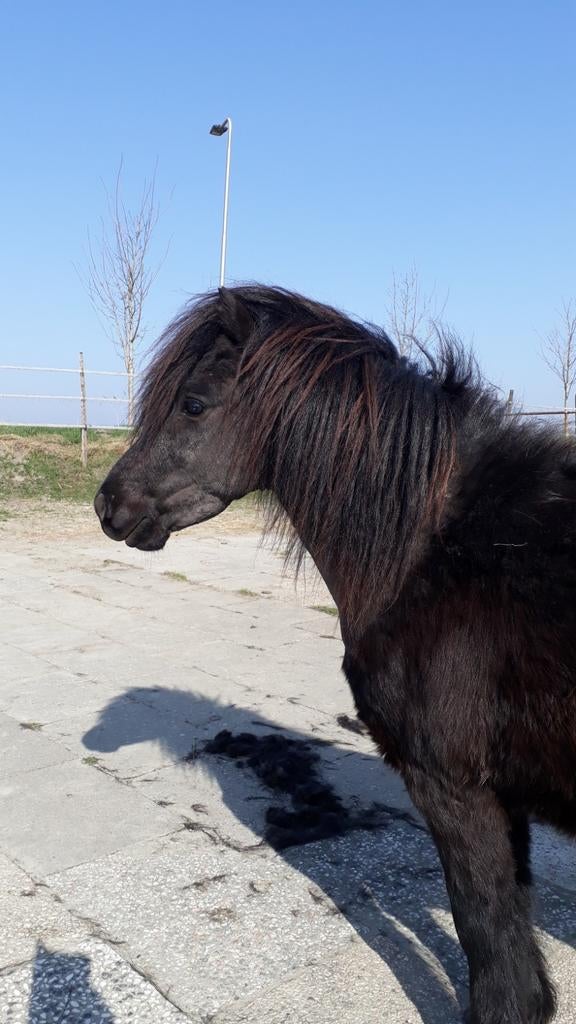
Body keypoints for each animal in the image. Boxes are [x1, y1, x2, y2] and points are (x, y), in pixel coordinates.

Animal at [94, 284, 576, 1024]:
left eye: (193, 403)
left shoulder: (455, 790)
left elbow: (488, 940)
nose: (108, 505)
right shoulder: (503, 797)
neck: (441, 552)